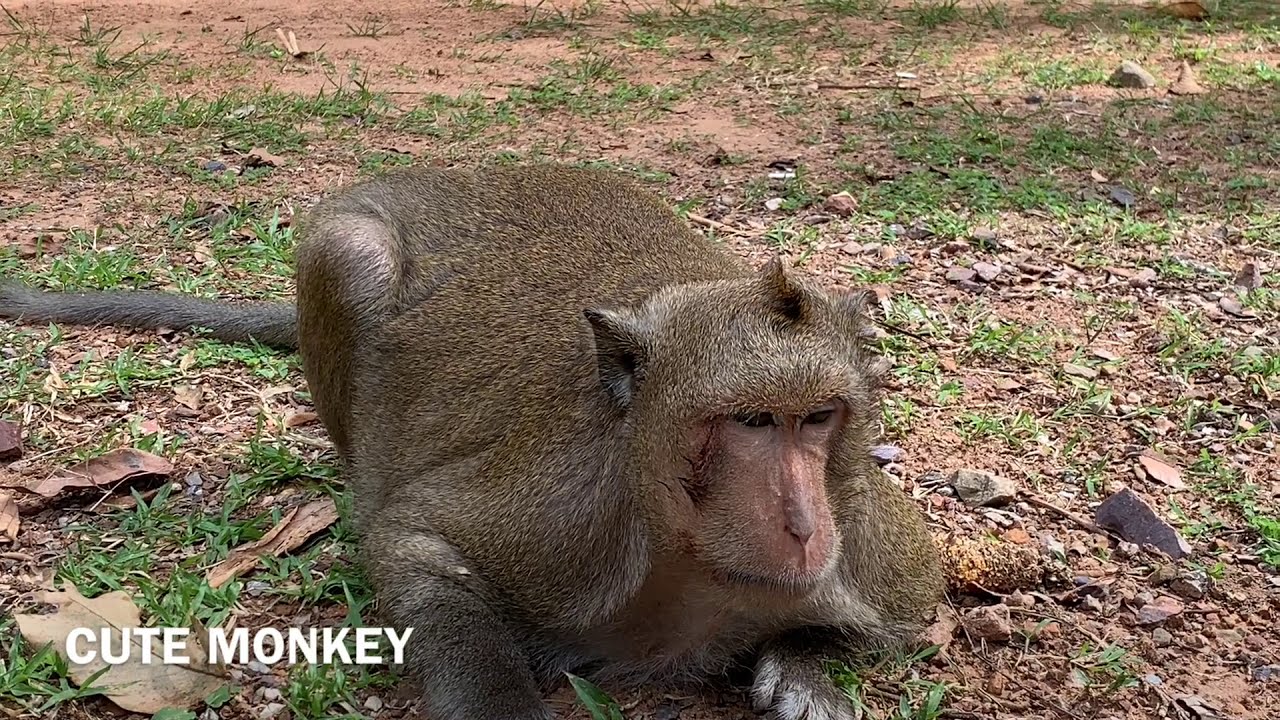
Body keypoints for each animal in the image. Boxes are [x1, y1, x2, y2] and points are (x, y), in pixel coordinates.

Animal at [1, 164, 945, 720]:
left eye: (817, 418)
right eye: (751, 423)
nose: (801, 525)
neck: (693, 569)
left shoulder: (872, 553)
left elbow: (914, 610)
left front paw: (804, 671)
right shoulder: (564, 526)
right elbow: (415, 542)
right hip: (348, 254)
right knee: (353, 258)